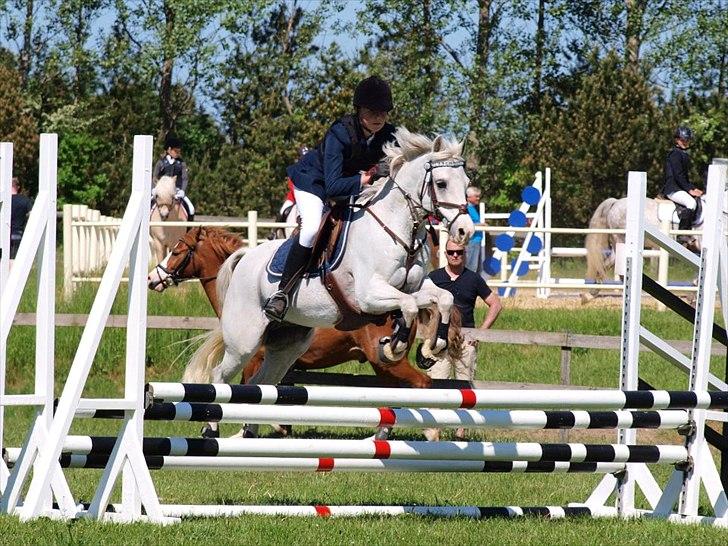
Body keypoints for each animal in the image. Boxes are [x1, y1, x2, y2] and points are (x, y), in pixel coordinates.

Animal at [185, 128, 474, 438]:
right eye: (441, 184)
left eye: (467, 183)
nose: (464, 231)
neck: (397, 229)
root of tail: (247, 257)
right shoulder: (368, 296)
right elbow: (408, 305)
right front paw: (392, 346)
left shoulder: (415, 287)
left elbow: (443, 298)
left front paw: (432, 348)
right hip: (244, 342)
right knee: (221, 377)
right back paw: (211, 429)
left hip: (287, 345)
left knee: (260, 384)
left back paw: (249, 431)